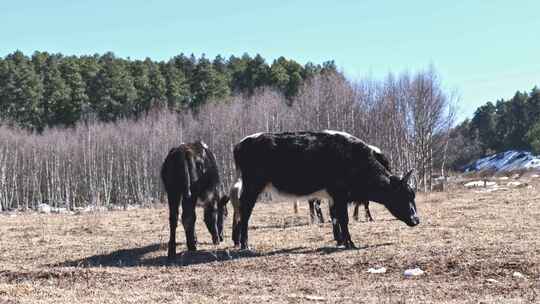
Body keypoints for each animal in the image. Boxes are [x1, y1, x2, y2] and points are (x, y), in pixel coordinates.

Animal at [230, 131, 420, 249]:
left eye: (413, 195)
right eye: (403, 195)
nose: (416, 219)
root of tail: (242, 143)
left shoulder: (333, 196)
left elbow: (335, 218)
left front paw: (341, 241)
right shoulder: (340, 194)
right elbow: (343, 219)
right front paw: (349, 243)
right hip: (252, 187)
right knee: (245, 212)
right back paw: (245, 244)